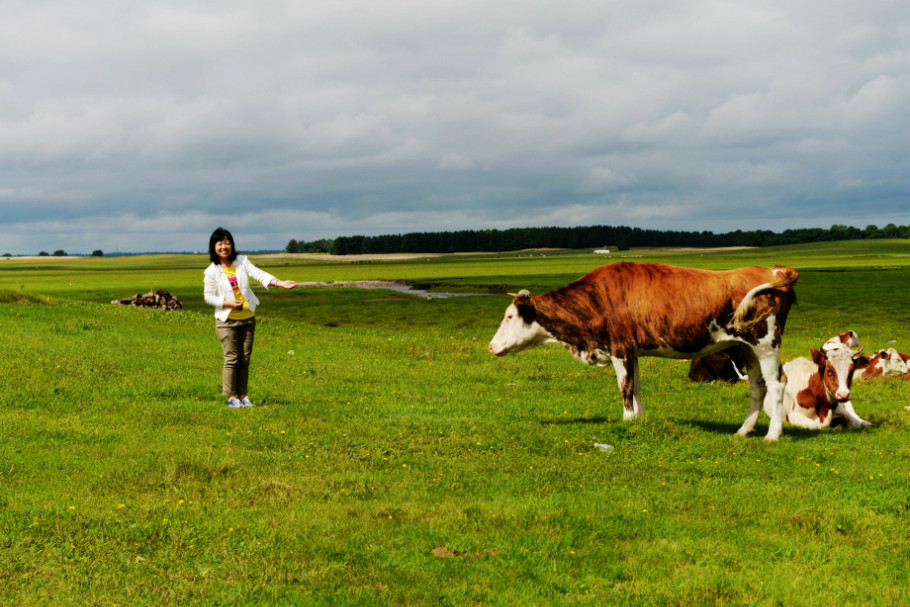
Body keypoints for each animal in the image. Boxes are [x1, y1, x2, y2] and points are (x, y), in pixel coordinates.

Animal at [492, 262, 800, 442]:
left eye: (509, 316)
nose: (491, 346)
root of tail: (773, 271)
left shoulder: (619, 348)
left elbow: (625, 387)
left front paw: (627, 420)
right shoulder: (632, 352)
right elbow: (637, 386)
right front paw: (638, 420)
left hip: (766, 342)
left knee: (777, 383)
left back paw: (773, 435)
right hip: (747, 348)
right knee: (758, 386)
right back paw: (744, 430)